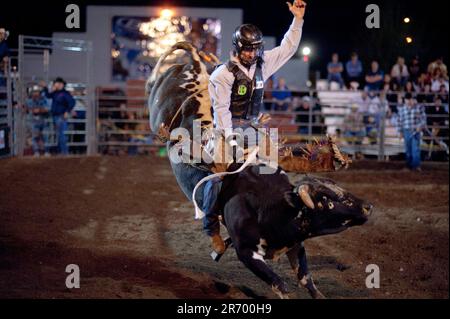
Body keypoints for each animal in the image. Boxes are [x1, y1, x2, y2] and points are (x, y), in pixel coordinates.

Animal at [148, 42, 372, 298]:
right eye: (328, 203)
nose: (367, 206)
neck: (270, 204)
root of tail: (194, 65)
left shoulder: (295, 243)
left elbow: (307, 280)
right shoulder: (246, 253)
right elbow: (280, 284)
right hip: (158, 112)